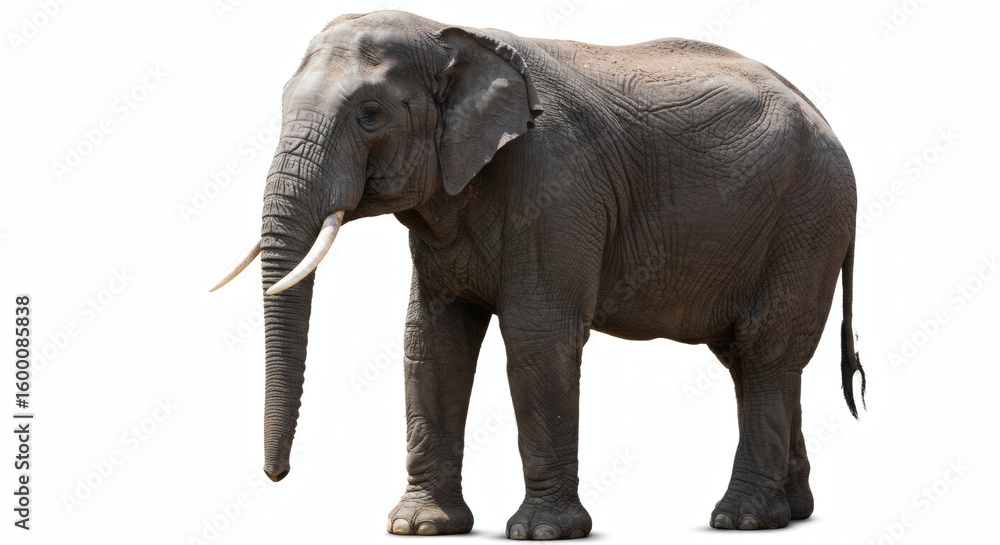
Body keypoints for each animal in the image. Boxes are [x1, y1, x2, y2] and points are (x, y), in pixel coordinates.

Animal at [211, 10, 866, 538]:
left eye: (369, 114)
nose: (276, 476)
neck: (449, 36)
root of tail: (827, 119)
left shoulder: (556, 183)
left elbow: (536, 337)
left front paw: (542, 533)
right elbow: (432, 341)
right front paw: (420, 528)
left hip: (808, 218)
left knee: (764, 349)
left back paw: (742, 520)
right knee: (751, 360)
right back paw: (792, 512)